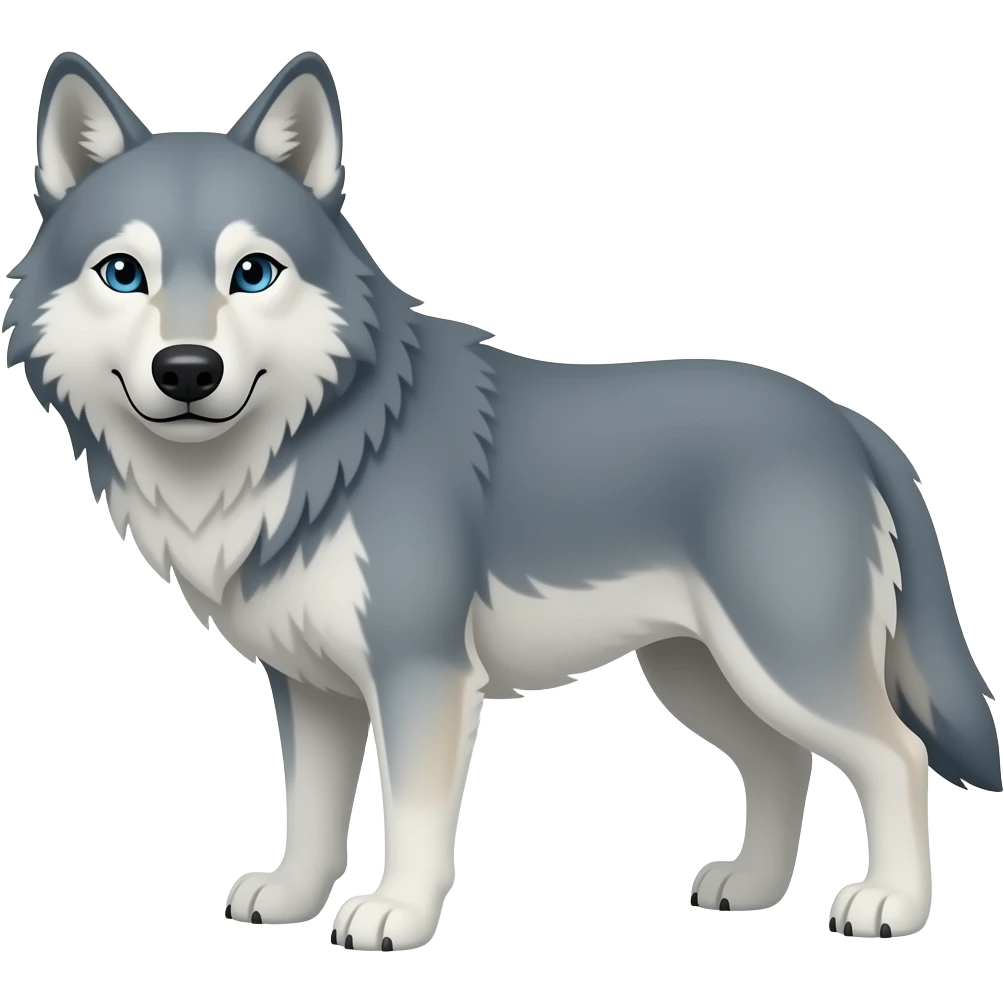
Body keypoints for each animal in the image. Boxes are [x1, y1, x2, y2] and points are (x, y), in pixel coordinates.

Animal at [4, 50, 1000, 951]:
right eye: (123, 273)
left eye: (253, 272)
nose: (187, 370)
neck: (312, 450)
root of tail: (849, 421)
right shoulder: (312, 687)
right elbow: (311, 812)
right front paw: (291, 899)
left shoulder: (422, 674)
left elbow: (410, 813)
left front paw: (395, 916)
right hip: (702, 676)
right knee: (784, 763)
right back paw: (752, 888)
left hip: (783, 665)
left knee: (897, 756)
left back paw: (889, 906)